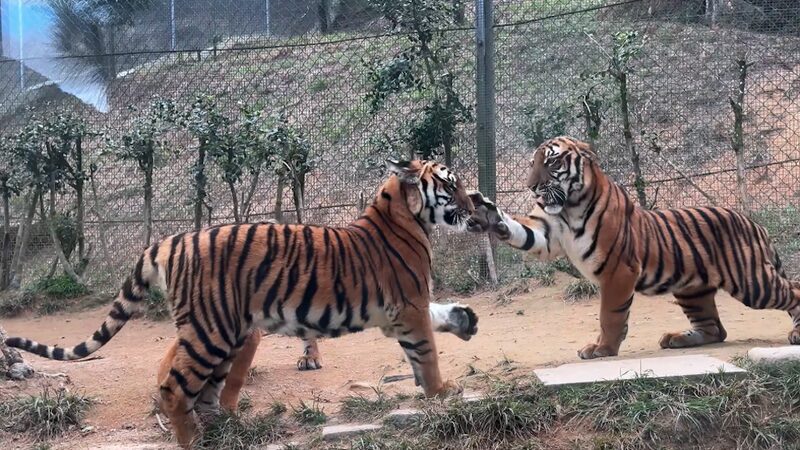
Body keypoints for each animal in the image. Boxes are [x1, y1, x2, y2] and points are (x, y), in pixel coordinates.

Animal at [6, 159, 479, 448]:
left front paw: (465, 321)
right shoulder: (409, 305)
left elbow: (438, 323)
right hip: (211, 331)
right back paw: (195, 441)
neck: (402, 213)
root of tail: (169, 240)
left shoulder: (403, 309)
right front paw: (441, 392)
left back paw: (224, 432)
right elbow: (426, 352)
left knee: (205, 396)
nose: (475, 204)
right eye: (451, 184)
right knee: (175, 388)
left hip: (223, 333)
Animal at [467, 136, 800, 360]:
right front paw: (487, 214)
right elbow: (522, 231)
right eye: (533, 164)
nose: (532, 187)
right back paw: (675, 339)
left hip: (752, 282)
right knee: (715, 329)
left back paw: (796, 333)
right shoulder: (546, 232)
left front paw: (602, 349)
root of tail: (753, 223)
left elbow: (610, 315)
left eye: (551, 161)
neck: (569, 208)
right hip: (692, 290)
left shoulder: (618, 270)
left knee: (793, 290)